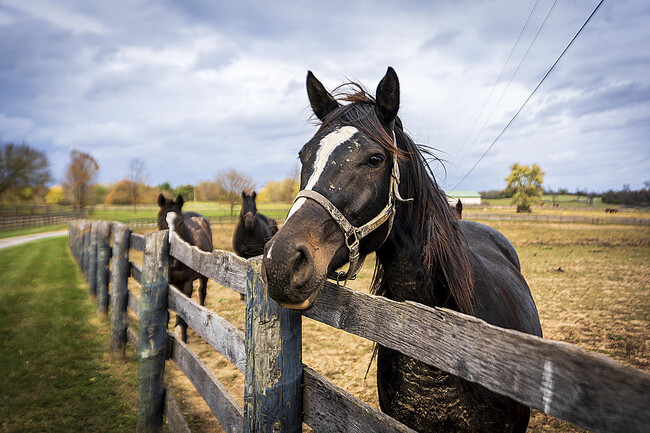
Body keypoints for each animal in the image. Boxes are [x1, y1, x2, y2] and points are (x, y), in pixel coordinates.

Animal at [156, 193, 211, 340]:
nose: (171, 258)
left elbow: (182, 312)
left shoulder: (187, 284)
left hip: (203, 277)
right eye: (160, 221)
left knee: (202, 292)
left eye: (180, 222)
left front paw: (182, 337)